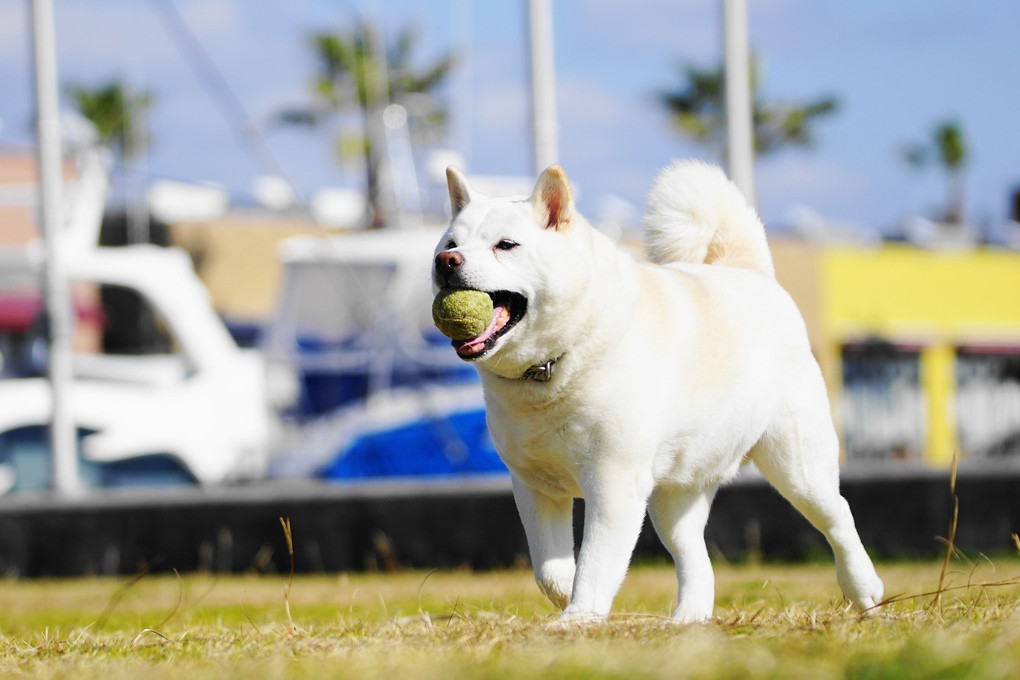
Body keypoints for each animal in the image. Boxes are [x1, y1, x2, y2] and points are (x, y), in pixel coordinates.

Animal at [430, 162, 885, 623]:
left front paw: (579, 618)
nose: (445, 262)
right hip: (673, 499)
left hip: (796, 468)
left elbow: (595, 563)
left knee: (839, 516)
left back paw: (863, 589)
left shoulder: (613, 481)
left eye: (506, 245)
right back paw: (689, 619)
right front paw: (569, 602)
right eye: (451, 243)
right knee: (696, 558)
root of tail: (751, 272)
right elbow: (550, 571)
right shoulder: (534, 486)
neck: (553, 369)